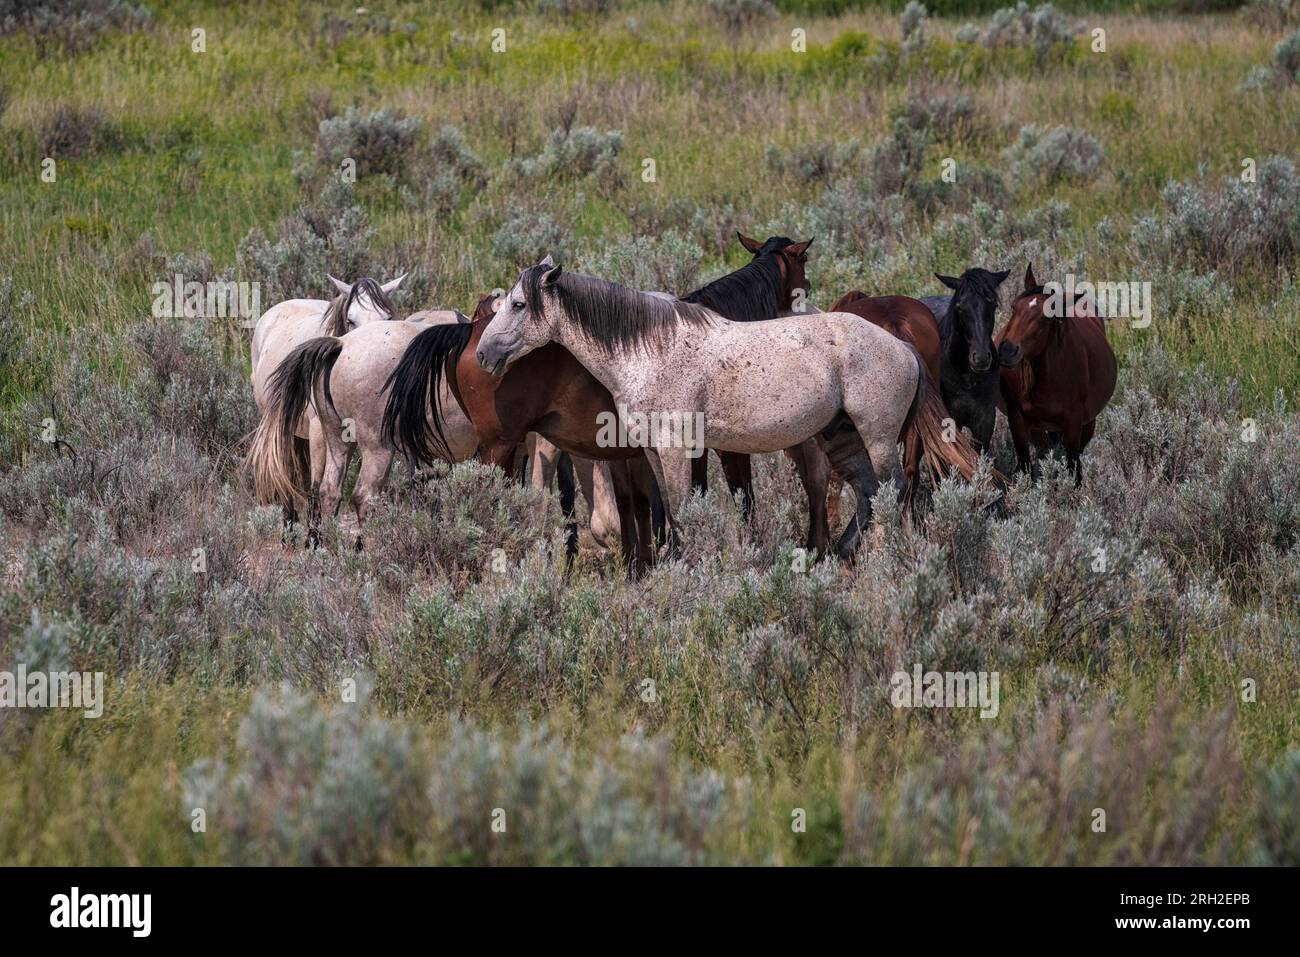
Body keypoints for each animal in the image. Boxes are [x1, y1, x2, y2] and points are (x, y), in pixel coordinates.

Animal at [249, 301, 475, 548]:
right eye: (350, 319)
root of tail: (342, 344)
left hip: (337, 439)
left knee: (329, 489)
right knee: (357, 493)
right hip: (370, 446)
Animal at [475, 258, 924, 559]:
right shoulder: (653, 451)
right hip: (843, 437)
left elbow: (680, 510)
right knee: (868, 493)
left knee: (891, 490)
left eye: (519, 304)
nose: (483, 354)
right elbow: (669, 511)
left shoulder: (676, 449)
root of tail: (903, 347)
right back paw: (840, 554)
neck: (648, 351)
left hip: (878, 438)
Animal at [997, 264, 1117, 485]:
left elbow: (1073, 469)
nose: (1007, 351)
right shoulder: (1017, 419)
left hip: (1087, 423)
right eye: (1014, 307)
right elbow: (1025, 466)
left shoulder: (1074, 423)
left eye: (1046, 317)